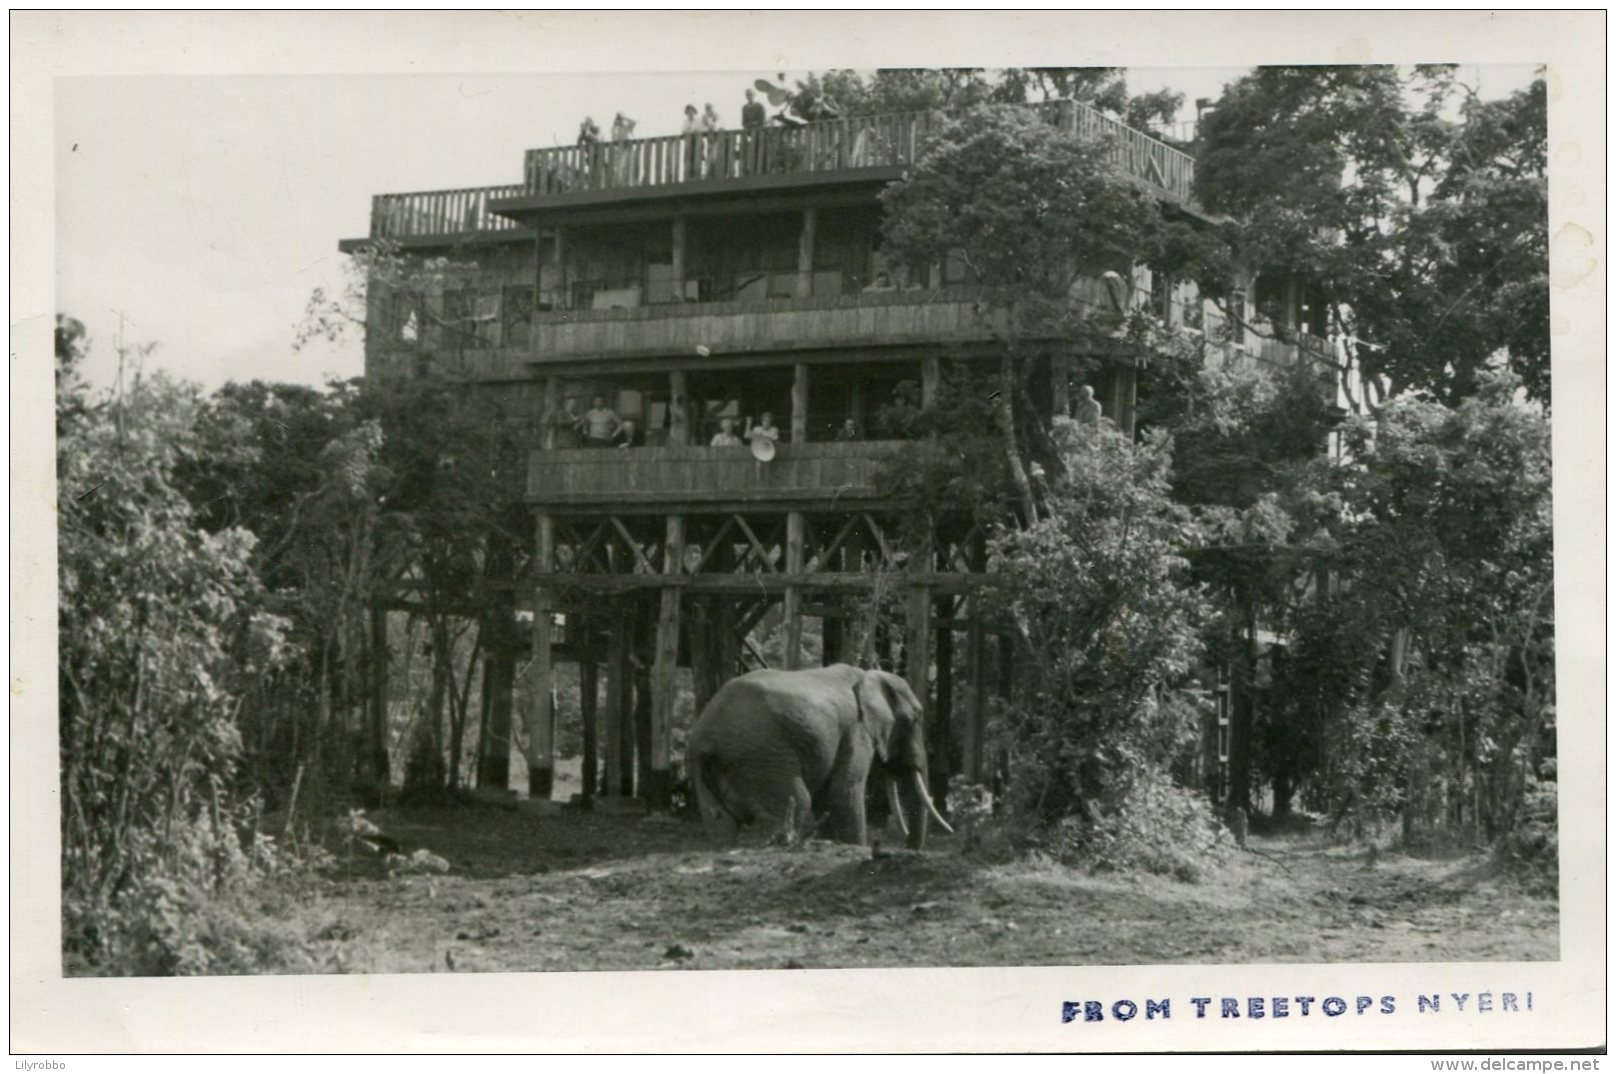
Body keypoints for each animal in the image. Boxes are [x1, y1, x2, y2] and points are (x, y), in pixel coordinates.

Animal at [681, 662, 943, 846]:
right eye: (914, 719)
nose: (907, 844)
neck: (869, 675)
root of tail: (707, 734)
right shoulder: (856, 730)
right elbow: (844, 791)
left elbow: (827, 798)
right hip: (758, 756)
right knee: (795, 802)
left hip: (707, 766)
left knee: (720, 824)